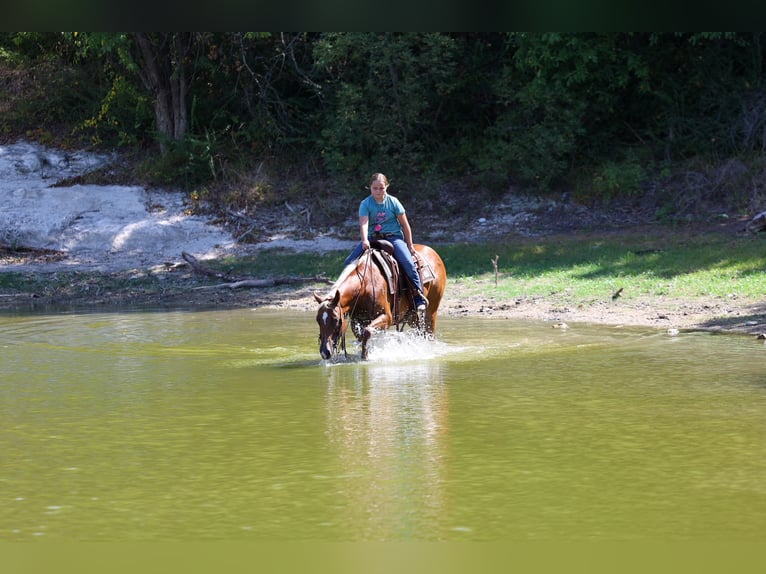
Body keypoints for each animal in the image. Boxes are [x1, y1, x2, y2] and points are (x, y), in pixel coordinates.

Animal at [314, 243, 447, 360]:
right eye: (318, 320)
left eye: (335, 319)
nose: (325, 352)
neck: (365, 284)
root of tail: (434, 253)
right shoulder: (357, 321)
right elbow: (362, 336)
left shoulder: (387, 317)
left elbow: (367, 332)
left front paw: (365, 356)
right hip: (412, 317)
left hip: (431, 311)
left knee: (430, 333)